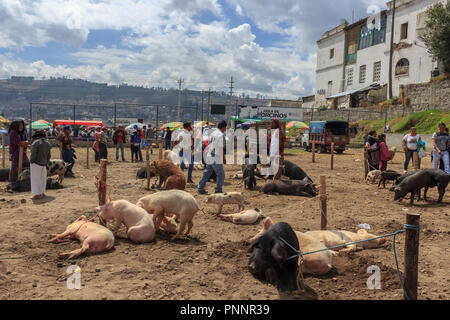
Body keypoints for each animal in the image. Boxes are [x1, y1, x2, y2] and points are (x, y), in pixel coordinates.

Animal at [280, 224, 420, 302]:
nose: (384, 239)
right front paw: (343, 251)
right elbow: (350, 247)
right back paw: (336, 253)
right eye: (372, 235)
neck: (360, 241)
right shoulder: (349, 241)